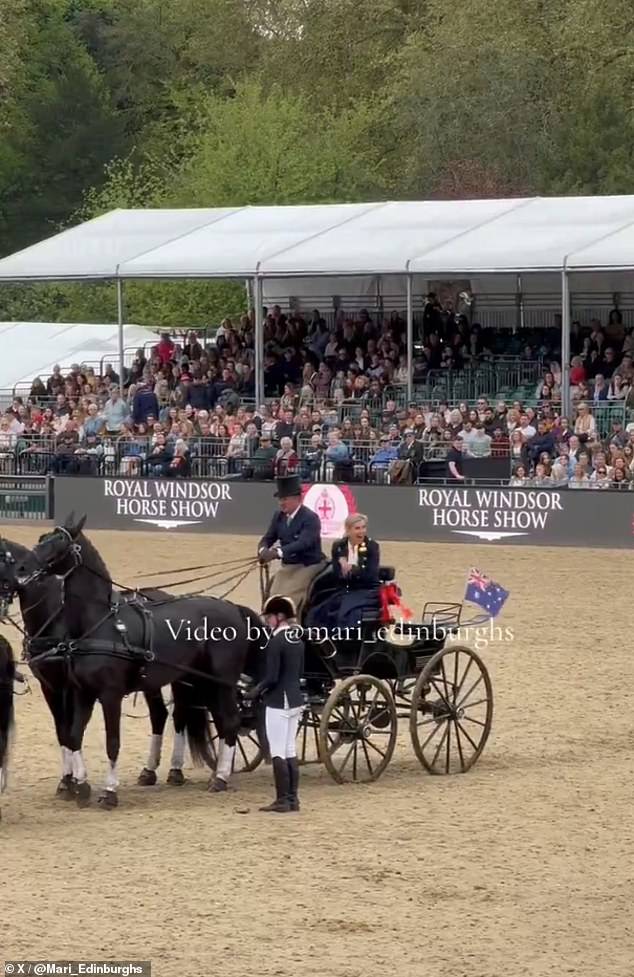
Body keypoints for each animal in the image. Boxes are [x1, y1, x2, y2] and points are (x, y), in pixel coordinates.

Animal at [18, 520, 262, 808]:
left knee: (231, 721)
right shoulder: (81, 692)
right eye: (41, 538)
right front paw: (81, 786)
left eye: (59, 543)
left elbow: (112, 742)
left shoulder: (109, 695)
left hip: (221, 682)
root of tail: (233, 608)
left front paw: (109, 792)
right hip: (198, 681)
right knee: (203, 719)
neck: (97, 625)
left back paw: (221, 778)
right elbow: (73, 735)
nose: (22, 568)